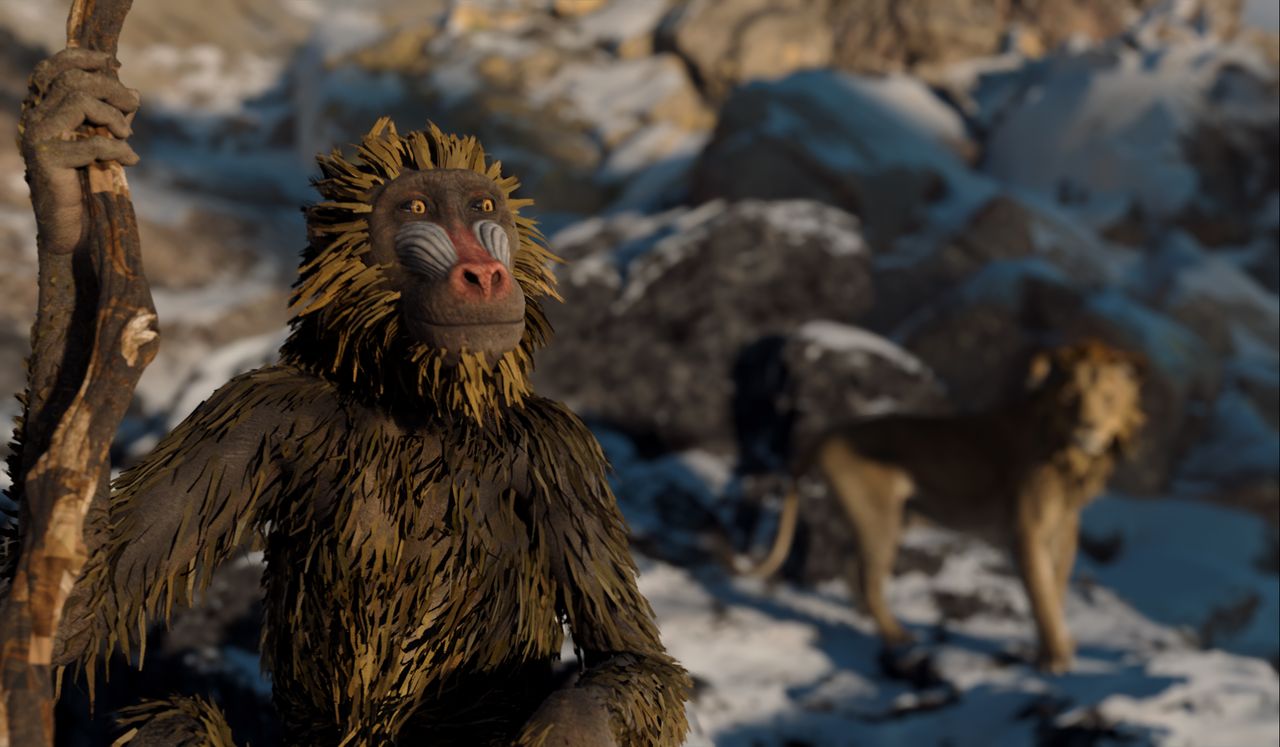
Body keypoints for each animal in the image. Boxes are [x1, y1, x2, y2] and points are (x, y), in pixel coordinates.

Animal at [744, 340, 1145, 673]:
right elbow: (1040, 592)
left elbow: (1055, 585)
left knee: (848, 565)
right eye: (1071, 397)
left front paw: (1061, 643)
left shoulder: (1063, 527)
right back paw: (898, 635)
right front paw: (1055, 658)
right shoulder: (1026, 529)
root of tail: (828, 434)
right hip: (880, 518)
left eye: (1108, 397)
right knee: (868, 577)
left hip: (887, 518)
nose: (1088, 426)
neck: (1075, 460)